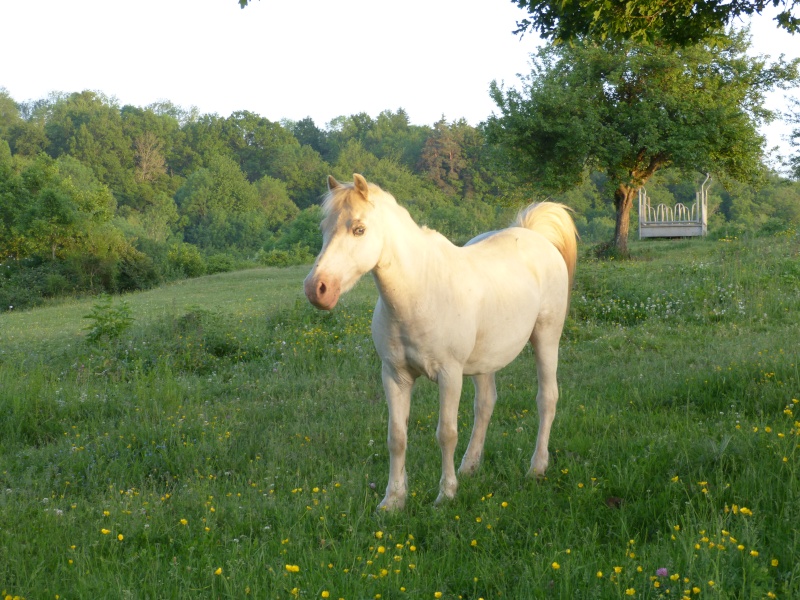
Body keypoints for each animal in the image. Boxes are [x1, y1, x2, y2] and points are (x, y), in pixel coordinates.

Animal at [304, 175, 576, 510]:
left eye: (359, 229)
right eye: (324, 228)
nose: (317, 289)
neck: (419, 293)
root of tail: (533, 234)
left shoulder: (449, 375)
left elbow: (446, 434)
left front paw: (446, 494)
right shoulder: (394, 376)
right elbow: (397, 437)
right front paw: (393, 500)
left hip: (546, 338)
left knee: (546, 399)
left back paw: (536, 468)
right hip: (485, 361)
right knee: (485, 405)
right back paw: (469, 467)